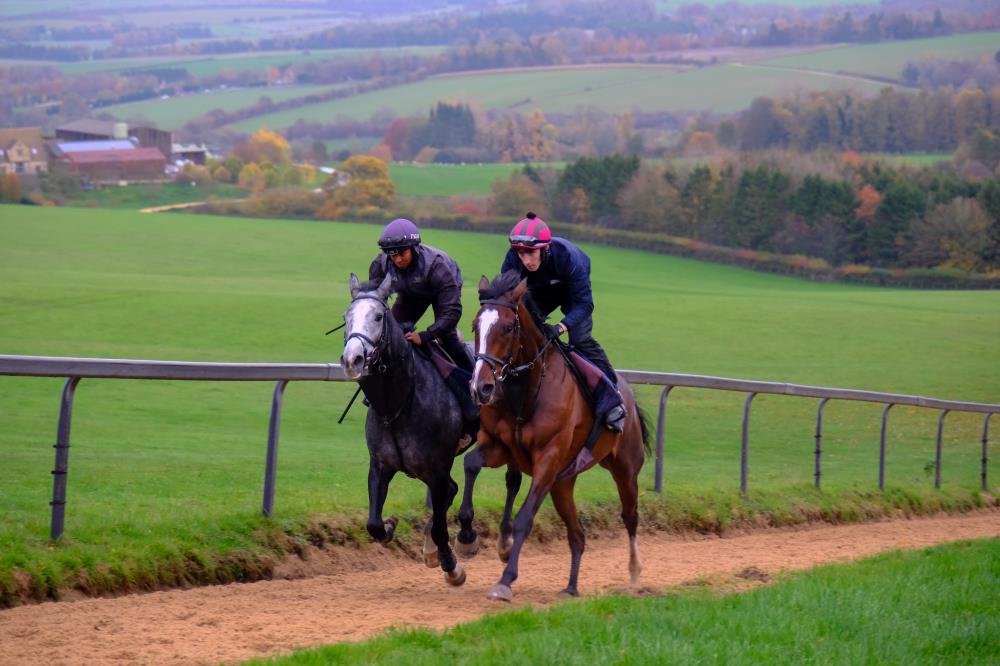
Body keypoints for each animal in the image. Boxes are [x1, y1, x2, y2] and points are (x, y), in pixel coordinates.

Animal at [339, 273, 466, 587]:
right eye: (346, 316)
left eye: (378, 316)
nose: (352, 359)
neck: (398, 404)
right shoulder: (381, 464)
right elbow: (373, 524)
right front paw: (390, 525)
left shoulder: (436, 468)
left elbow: (441, 526)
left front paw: (452, 566)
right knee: (452, 490)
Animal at [468, 270, 650, 601]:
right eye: (476, 325)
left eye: (508, 327)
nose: (481, 387)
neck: (526, 391)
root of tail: (628, 396)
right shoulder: (500, 446)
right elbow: (472, 464)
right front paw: (468, 537)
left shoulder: (548, 460)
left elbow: (524, 518)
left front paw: (505, 581)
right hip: (563, 483)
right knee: (577, 534)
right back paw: (571, 586)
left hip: (625, 470)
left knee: (630, 516)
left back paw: (634, 572)